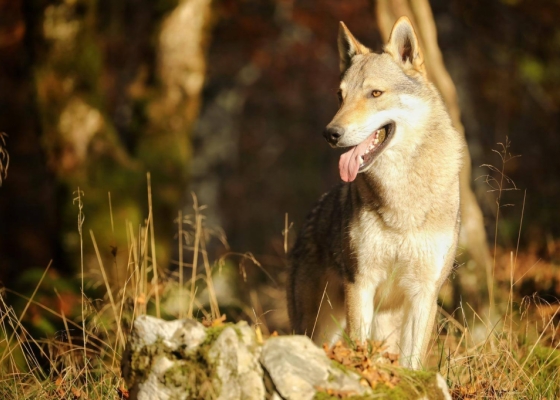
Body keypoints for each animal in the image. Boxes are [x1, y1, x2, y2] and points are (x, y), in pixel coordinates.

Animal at [288, 18, 464, 368]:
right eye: (340, 96)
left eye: (375, 93)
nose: (330, 133)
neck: (403, 200)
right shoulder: (361, 283)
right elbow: (358, 344)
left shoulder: (424, 292)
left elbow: (412, 363)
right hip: (318, 325)